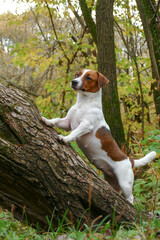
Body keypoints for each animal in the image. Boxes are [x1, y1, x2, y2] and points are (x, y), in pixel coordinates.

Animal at [42, 68, 157, 203]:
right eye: (78, 74)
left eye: (88, 77)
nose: (73, 81)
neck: (84, 103)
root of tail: (130, 160)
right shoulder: (67, 122)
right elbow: (57, 120)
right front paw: (47, 121)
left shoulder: (86, 125)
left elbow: (74, 132)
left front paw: (65, 138)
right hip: (113, 182)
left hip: (125, 183)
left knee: (130, 198)